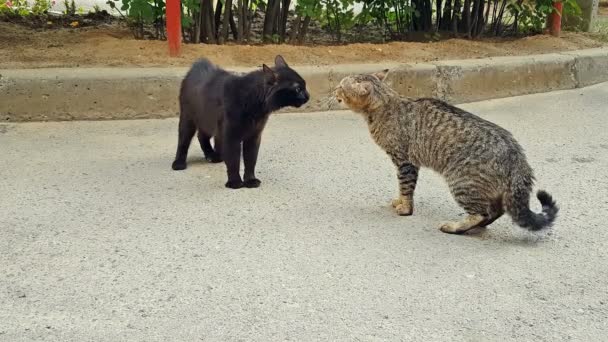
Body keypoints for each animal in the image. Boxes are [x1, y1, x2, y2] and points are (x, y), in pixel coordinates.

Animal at [173, 56, 312, 190]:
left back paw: (212, 155)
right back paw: (179, 163)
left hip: (208, 121)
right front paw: (235, 182)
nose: (308, 96)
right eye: (298, 89)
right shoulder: (231, 136)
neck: (253, 102)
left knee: (202, 136)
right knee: (183, 141)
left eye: (304, 85)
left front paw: (250, 180)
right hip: (188, 119)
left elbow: (250, 160)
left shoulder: (253, 136)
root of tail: (199, 64)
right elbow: (233, 161)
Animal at [334, 70, 560, 234]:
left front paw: (405, 208)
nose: (334, 91)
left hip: (462, 182)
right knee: (495, 211)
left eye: (341, 87)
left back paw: (455, 227)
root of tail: (518, 158)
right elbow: (401, 188)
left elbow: (405, 187)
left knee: (480, 212)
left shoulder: (405, 162)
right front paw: (399, 201)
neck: (384, 106)